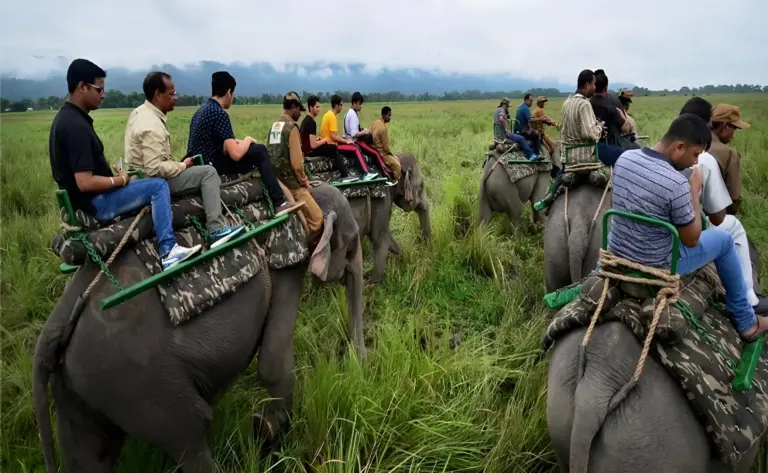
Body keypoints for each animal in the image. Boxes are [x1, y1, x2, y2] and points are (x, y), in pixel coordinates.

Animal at [33, 183, 365, 473]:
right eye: (351, 243)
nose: (360, 363)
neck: (302, 195)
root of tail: (55, 328)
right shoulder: (287, 258)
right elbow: (273, 361)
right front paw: (268, 435)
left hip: (79, 387)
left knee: (87, 454)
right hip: (140, 383)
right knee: (190, 434)